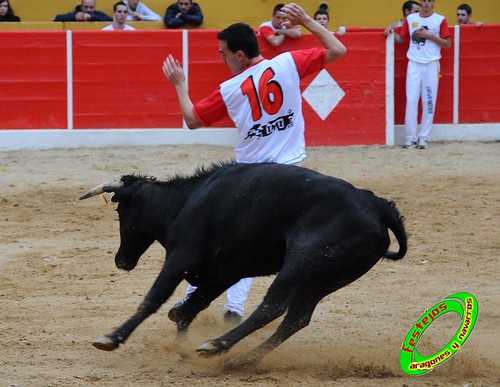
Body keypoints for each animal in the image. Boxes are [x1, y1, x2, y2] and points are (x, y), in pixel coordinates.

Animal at [79, 162, 406, 368]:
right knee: (296, 319)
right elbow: (187, 309)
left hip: (301, 262)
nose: (121, 260)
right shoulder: (224, 273)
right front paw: (183, 351)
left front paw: (111, 338)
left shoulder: (180, 259)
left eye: (121, 210)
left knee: (272, 307)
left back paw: (216, 345)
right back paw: (242, 360)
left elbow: (154, 299)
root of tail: (379, 207)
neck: (184, 202)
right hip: (323, 280)